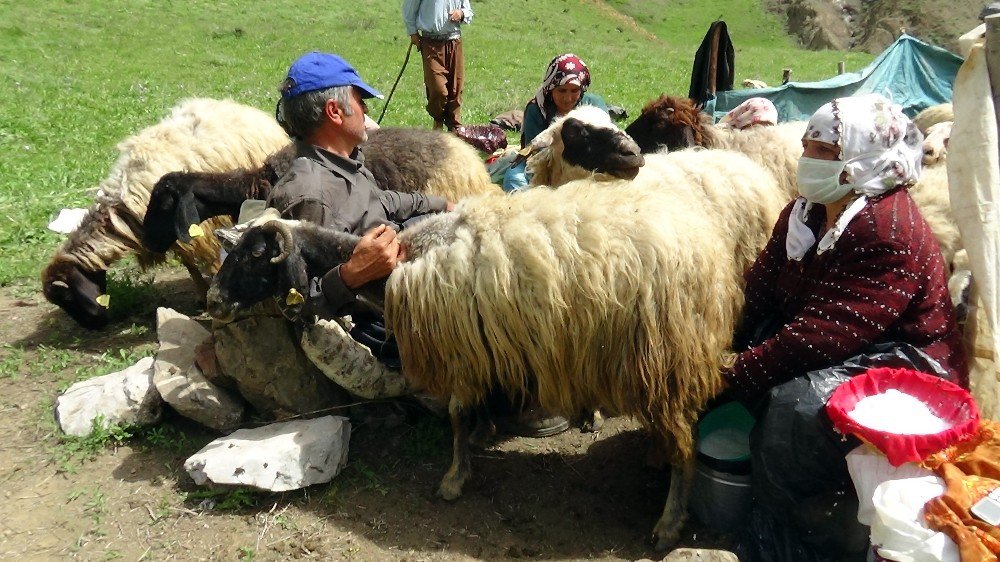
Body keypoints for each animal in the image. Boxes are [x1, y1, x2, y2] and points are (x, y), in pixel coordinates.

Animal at [43, 99, 290, 330]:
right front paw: (201, 293)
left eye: (67, 297)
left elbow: (209, 260)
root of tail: (237, 106)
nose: (93, 326)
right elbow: (188, 263)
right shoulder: (169, 233)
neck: (120, 212)